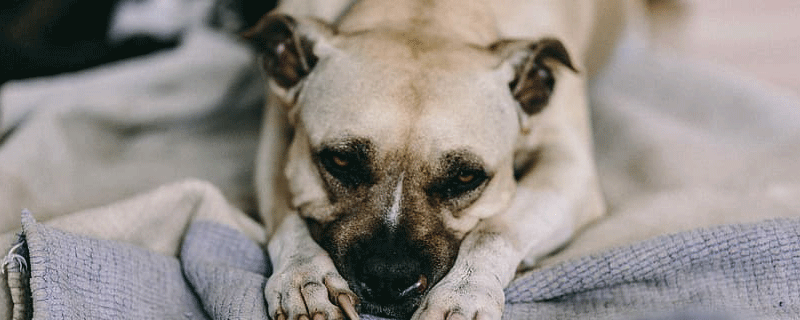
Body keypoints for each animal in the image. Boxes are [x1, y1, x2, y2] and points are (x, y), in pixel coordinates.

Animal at [244, 0, 632, 318]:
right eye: (340, 161)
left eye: (466, 177)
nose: (388, 278)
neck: (428, 14)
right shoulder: (275, 141)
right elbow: (287, 214)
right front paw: (304, 276)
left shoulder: (570, 167)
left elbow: (495, 229)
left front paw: (464, 293)